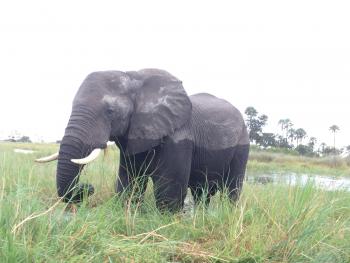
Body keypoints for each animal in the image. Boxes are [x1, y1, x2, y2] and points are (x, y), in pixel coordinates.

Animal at [37, 68, 250, 212]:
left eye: (110, 111)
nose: (87, 187)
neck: (134, 78)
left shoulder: (178, 137)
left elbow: (167, 189)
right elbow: (129, 183)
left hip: (242, 144)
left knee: (232, 188)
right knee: (201, 191)